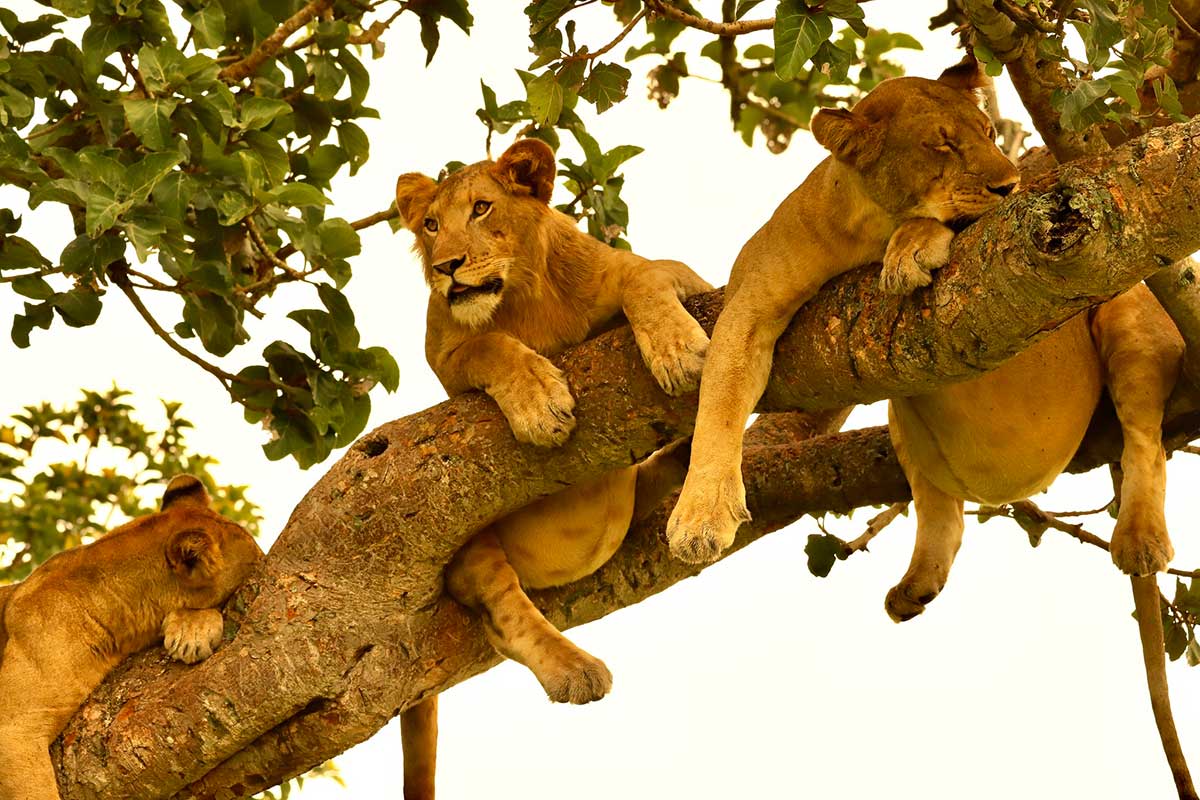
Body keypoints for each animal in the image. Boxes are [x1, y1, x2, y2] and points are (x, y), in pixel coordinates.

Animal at [392, 137, 713, 799]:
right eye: (431, 225)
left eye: (482, 207)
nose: (446, 266)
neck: (521, 295)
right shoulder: (447, 362)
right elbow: (489, 345)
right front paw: (540, 403)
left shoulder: (675, 276)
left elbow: (646, 275)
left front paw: (677, 352)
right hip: (475, 551)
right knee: (502, 613)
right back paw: (575, 672)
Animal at [665, 60, 1184, 622]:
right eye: (943, 144)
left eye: (990, 134)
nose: (1011, 184)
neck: (869, 228)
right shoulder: (748, 310)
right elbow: (719, 401)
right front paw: (700, 518)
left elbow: (930, 228)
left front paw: (909, 250)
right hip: (908, 424)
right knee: (942, 512)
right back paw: (914, 587)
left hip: (1129, 315)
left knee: (1145, 441)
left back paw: (1140, 539)